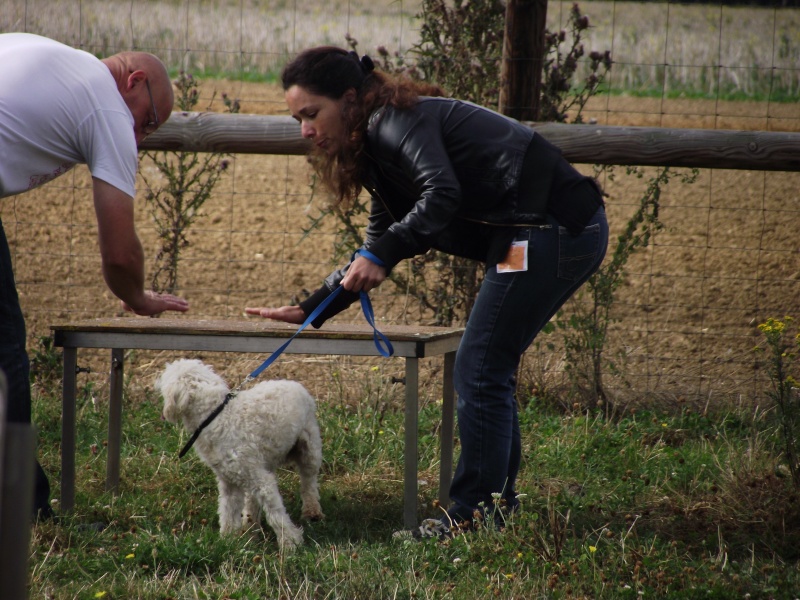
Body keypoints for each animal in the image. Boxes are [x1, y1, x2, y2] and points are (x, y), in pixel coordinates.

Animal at [155, 358, 324, 552]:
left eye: (166, 376)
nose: (155, 382)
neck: (215, 416)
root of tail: (294, 383)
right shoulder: (228, 480)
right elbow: (228, 510)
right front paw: (227, 540)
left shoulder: (263, 483)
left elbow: (276, 513)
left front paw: (290, 542)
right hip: (260, 466)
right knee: (252, 499)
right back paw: (250, 526)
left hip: (309, 450)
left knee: (308, 483)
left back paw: (312, 511)